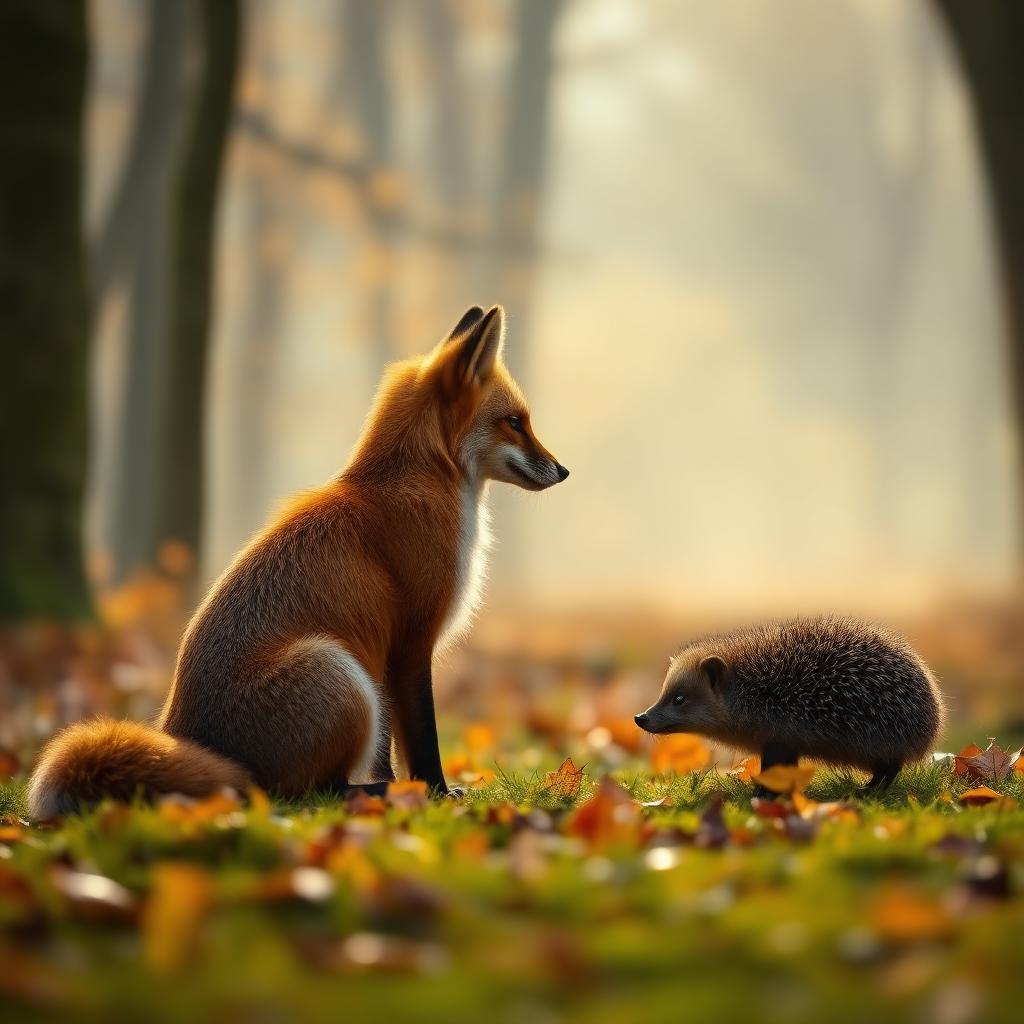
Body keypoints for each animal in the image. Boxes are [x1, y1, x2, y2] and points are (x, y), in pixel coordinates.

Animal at [28, 305, 568, 817]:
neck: (420, 483)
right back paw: (375, 794)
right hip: (339, 670)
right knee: (309, 791)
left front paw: (411, 790)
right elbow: (421, 740)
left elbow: (387, 752)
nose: (564, 471)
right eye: (515, 422)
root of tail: (184, 736)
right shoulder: (410, 643)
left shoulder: (387, 657)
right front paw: (432, 793)